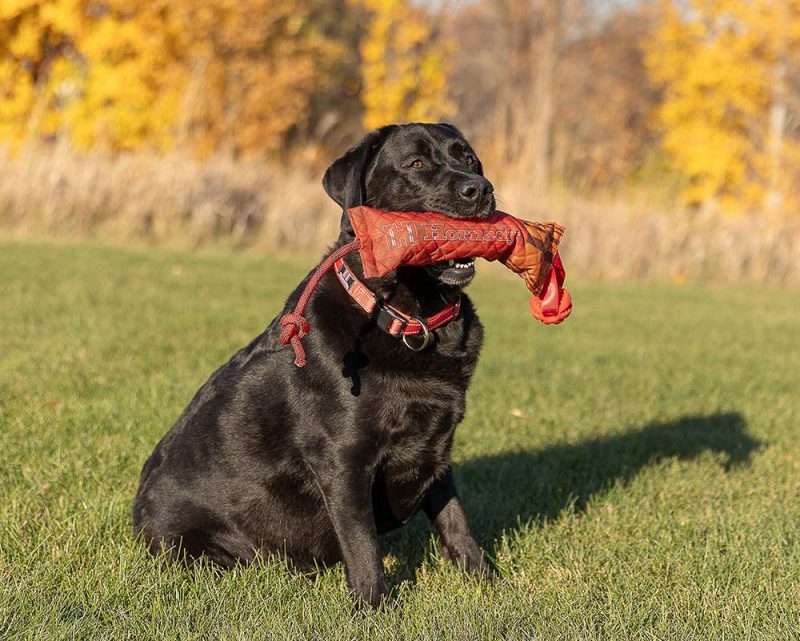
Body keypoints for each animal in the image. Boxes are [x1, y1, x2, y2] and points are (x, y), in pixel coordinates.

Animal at [134, 121, 496, 604]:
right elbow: (363, 546)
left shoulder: (435, 449)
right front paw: (375, 608)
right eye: (417, 163)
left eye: (469, 158)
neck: (408, 318)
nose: (479, 189)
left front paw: (488, 583)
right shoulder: (343, 461)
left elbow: (457, 523)